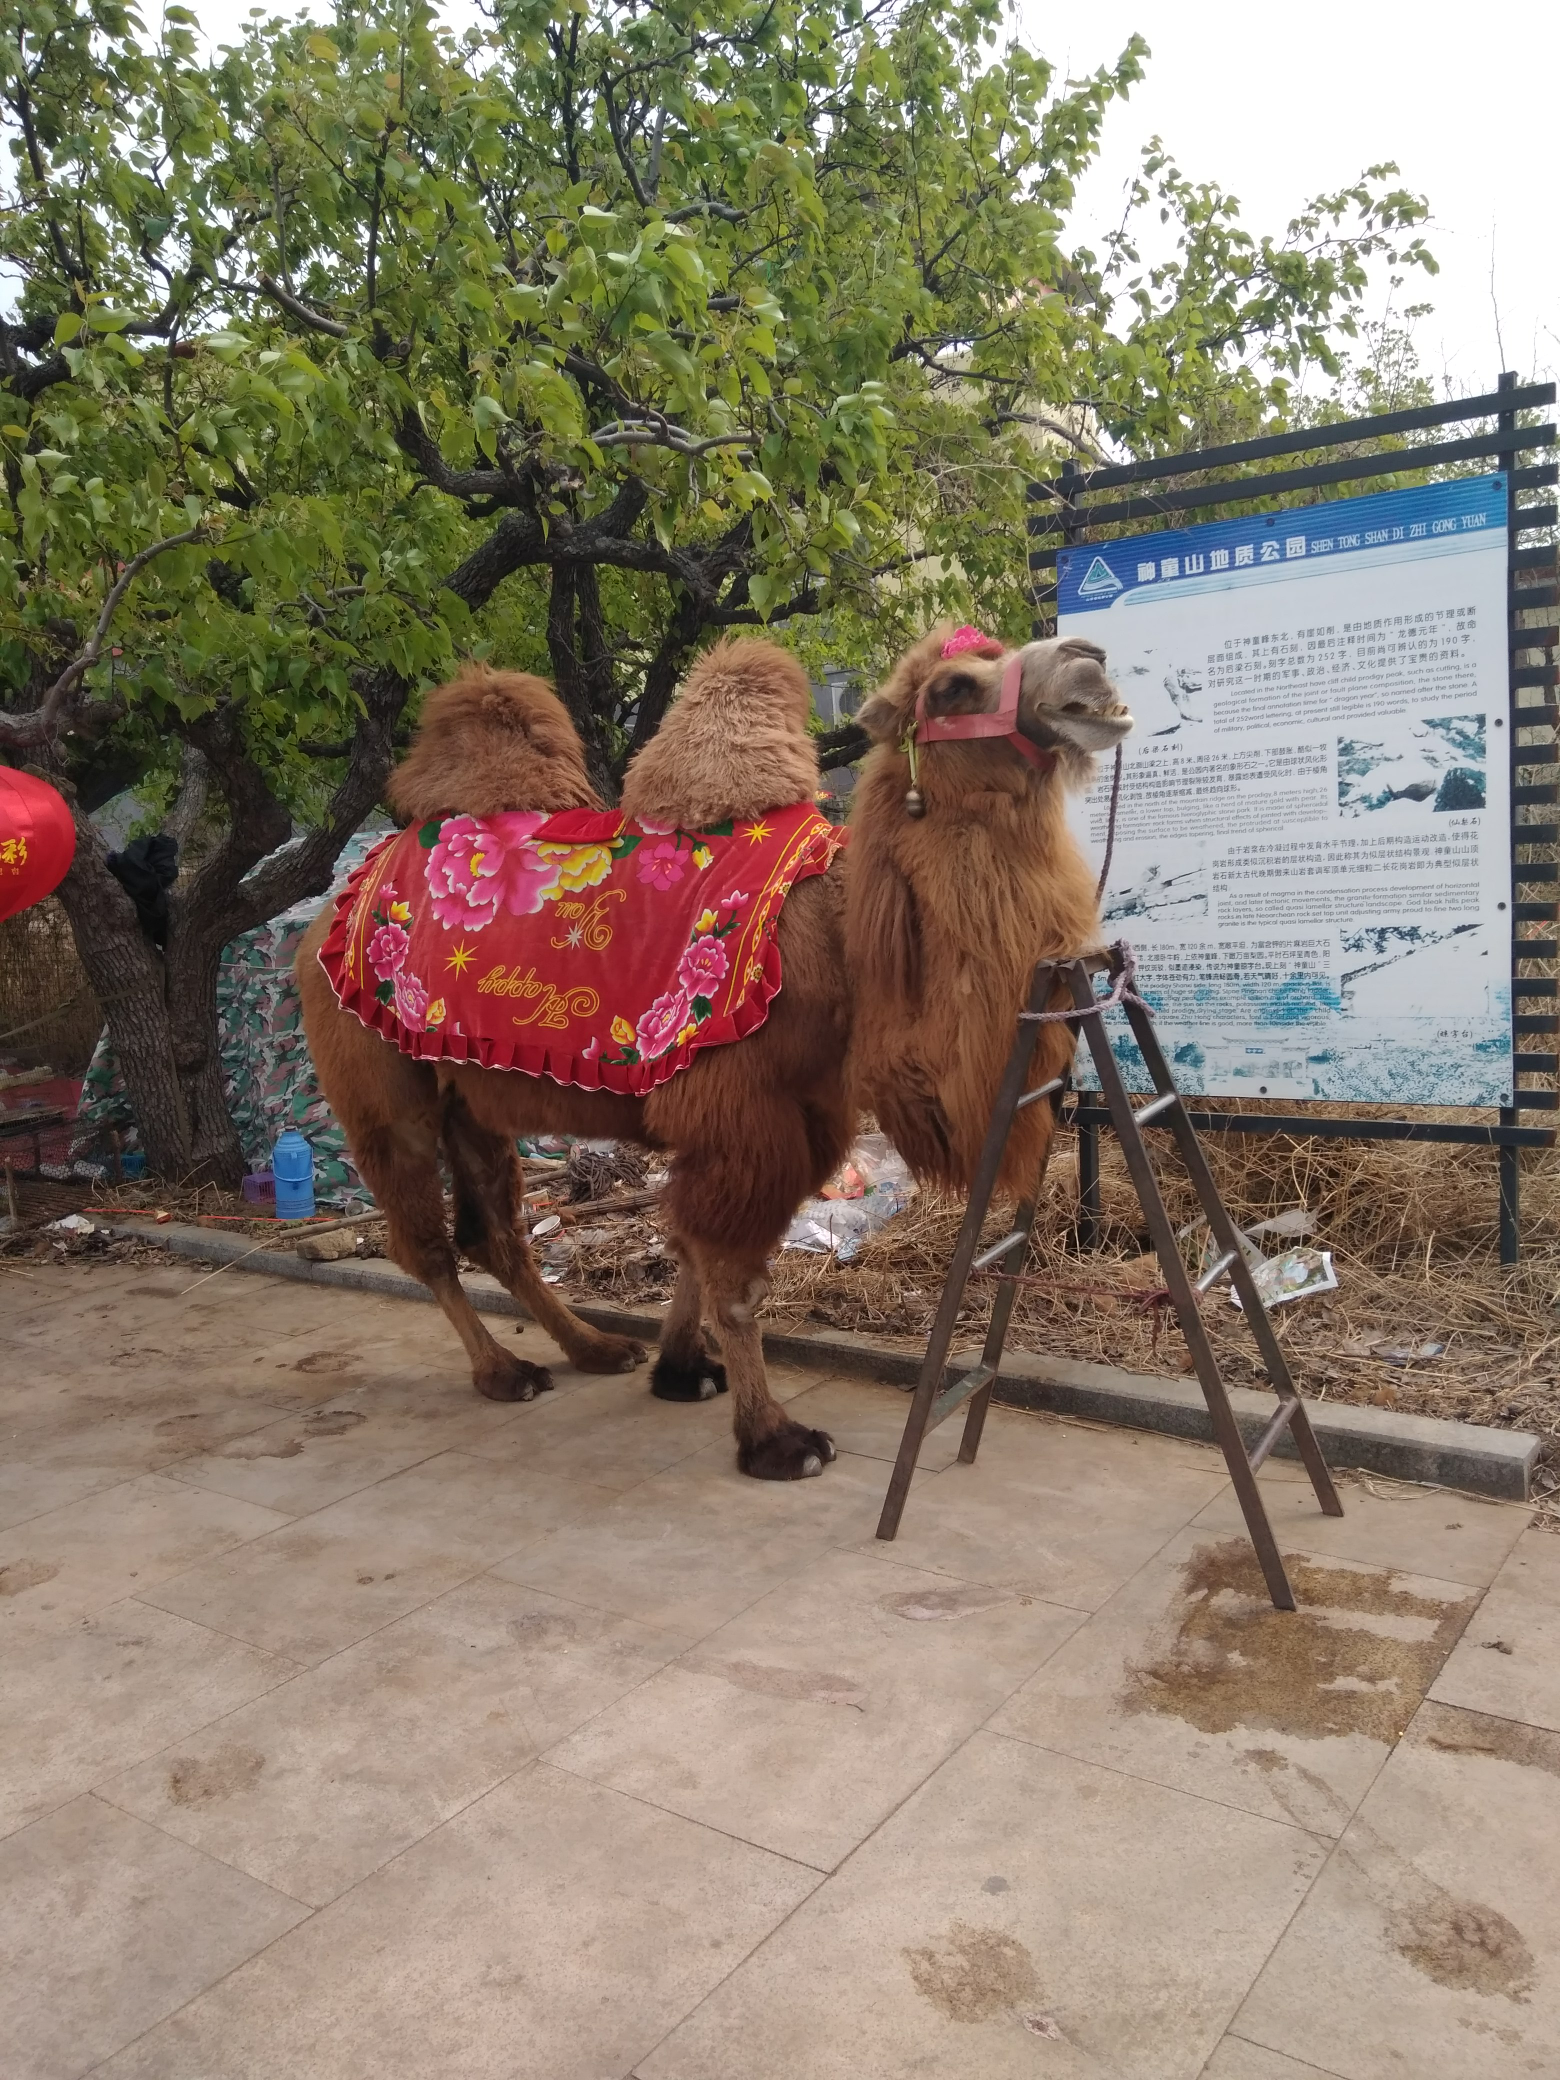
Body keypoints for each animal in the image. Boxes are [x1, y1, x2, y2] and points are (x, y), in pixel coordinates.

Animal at [299, 624, 1139, 1472]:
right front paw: (775, 1438)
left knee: (496, 1232)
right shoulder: (741, 1111)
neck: (837, 936)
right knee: (427, 1240)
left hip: (468, 1094)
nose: (1089, 658)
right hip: (382, 1087)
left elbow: (687, 1244)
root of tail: (331, 911)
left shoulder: (799, 1111)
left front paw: (681, 1370)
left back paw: (595, 1348)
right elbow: (734, 1277)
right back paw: (505, 1371)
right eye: (954, 688)